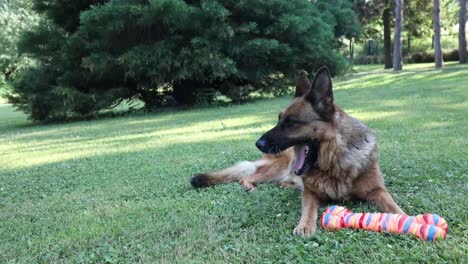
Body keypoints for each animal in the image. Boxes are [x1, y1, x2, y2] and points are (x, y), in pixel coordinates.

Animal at [190, 67, 402, 236]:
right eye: (278, 120)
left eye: (291, 122)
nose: (258, 143)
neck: (335, 162)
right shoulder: (310, 193)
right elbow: (308, 209)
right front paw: (305, 225)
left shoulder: (377, 190)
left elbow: (392, 205)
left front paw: (404, 217)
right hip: (275, 169)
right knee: (248, 176)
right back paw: (250, 186)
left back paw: (286, 185)